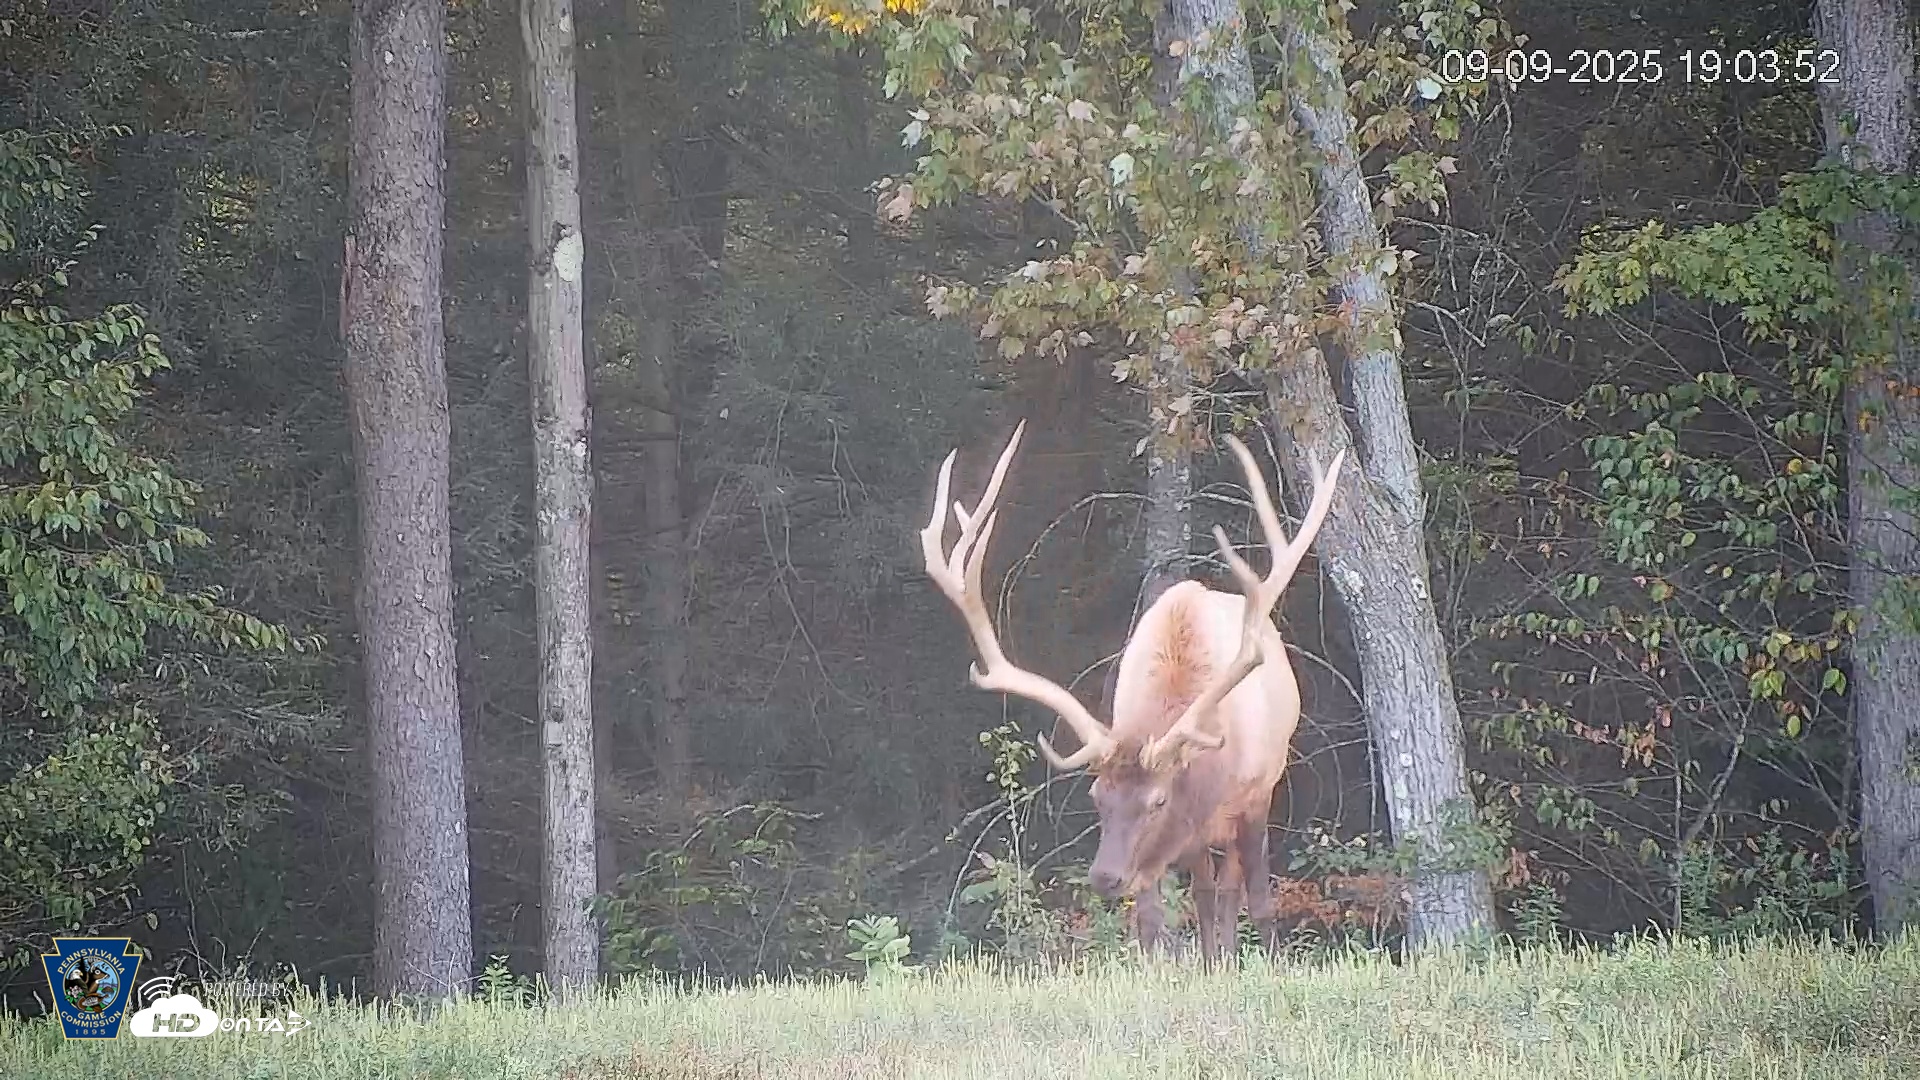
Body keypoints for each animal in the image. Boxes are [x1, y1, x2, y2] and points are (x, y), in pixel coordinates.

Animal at [921, 420, 1344, 963]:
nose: (1105, 876)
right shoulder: (1178, 834)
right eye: (1097, 796)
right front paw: (1193, 961)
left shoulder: (1253, 796)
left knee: (1234, 887)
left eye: (1157, 801)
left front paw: (1257, 960)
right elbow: (1167, 912)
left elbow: (1262, 902)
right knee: (1211, 891)